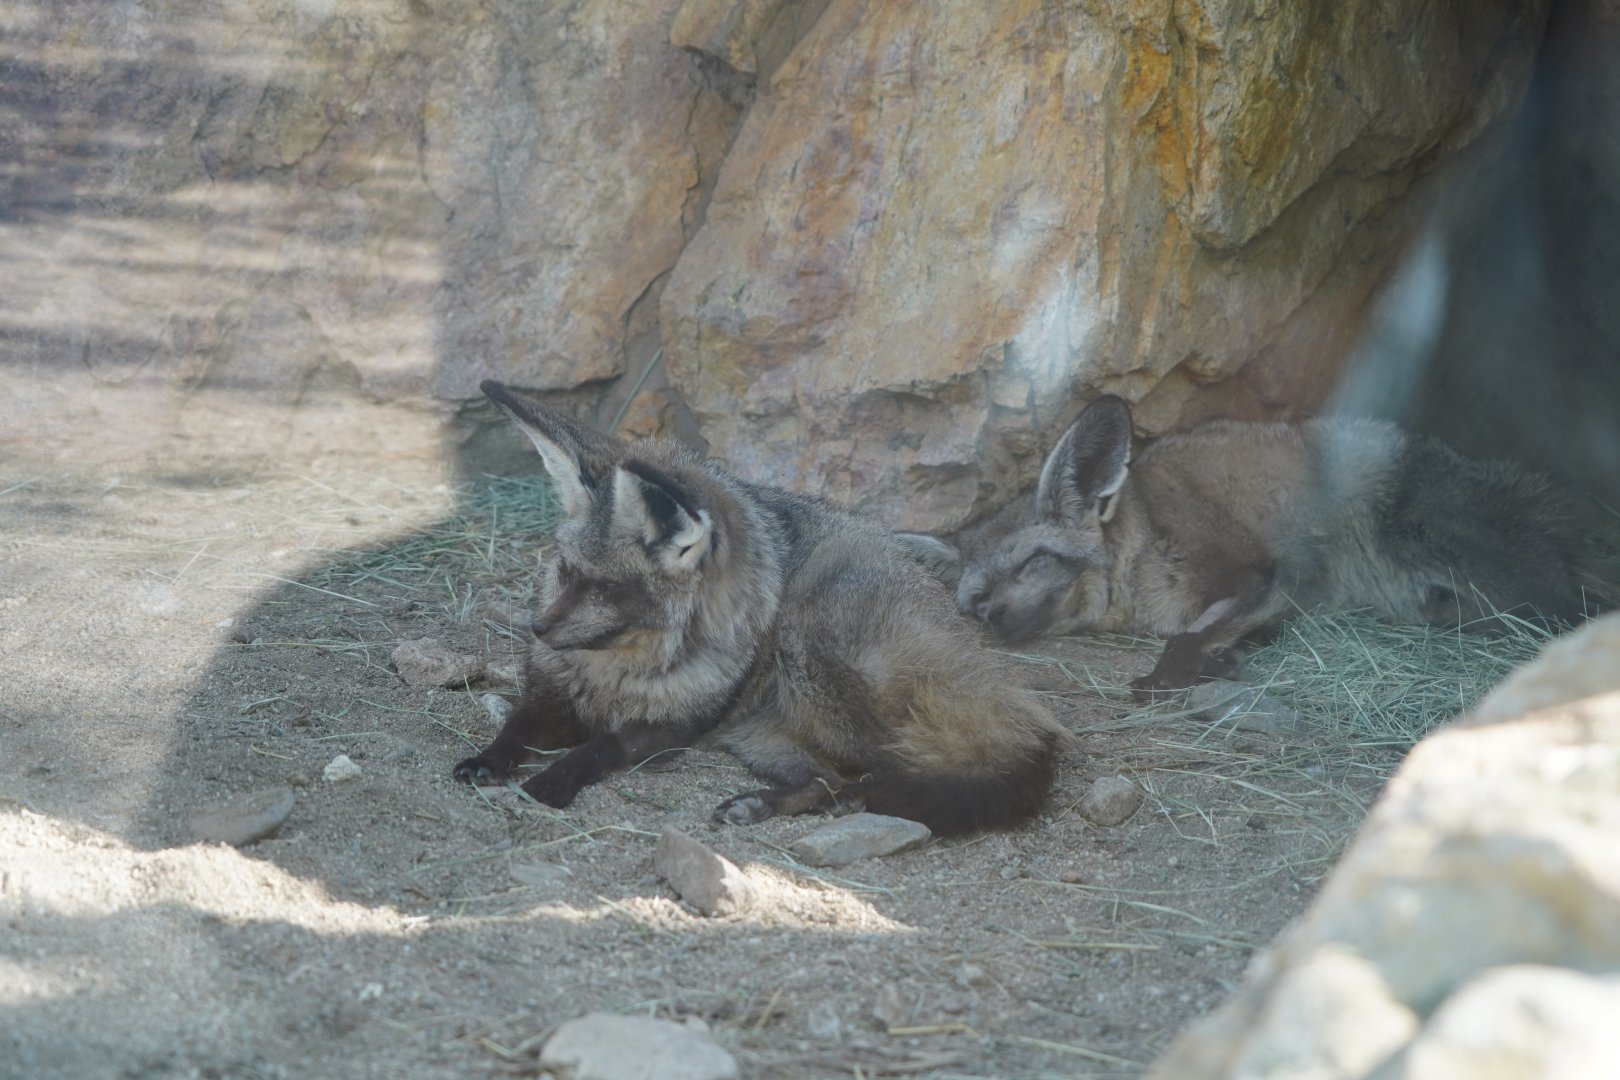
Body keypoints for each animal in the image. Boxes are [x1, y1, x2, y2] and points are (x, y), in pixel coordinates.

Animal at [453, 381, 1067, 834]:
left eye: (606, 587)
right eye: (565, 571)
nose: (538, 628)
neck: (620, 674)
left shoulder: (673, 729)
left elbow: (601, 744)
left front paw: (554, 779)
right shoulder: (551, 689)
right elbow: (517, 724)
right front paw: (488, 759)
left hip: (809, 648)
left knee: (877, 775)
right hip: (758, 732)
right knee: (825, 779)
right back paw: (761, 804)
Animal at [900, 395, 1616, 696]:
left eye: (1032, 562)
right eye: (974, 600)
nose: (993, 619)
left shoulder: (1260, 573)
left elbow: (1183, 638)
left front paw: (1170, 674)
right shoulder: (1275, 595)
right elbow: (1212, 633)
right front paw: (1228, 654)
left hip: (1445, 553)